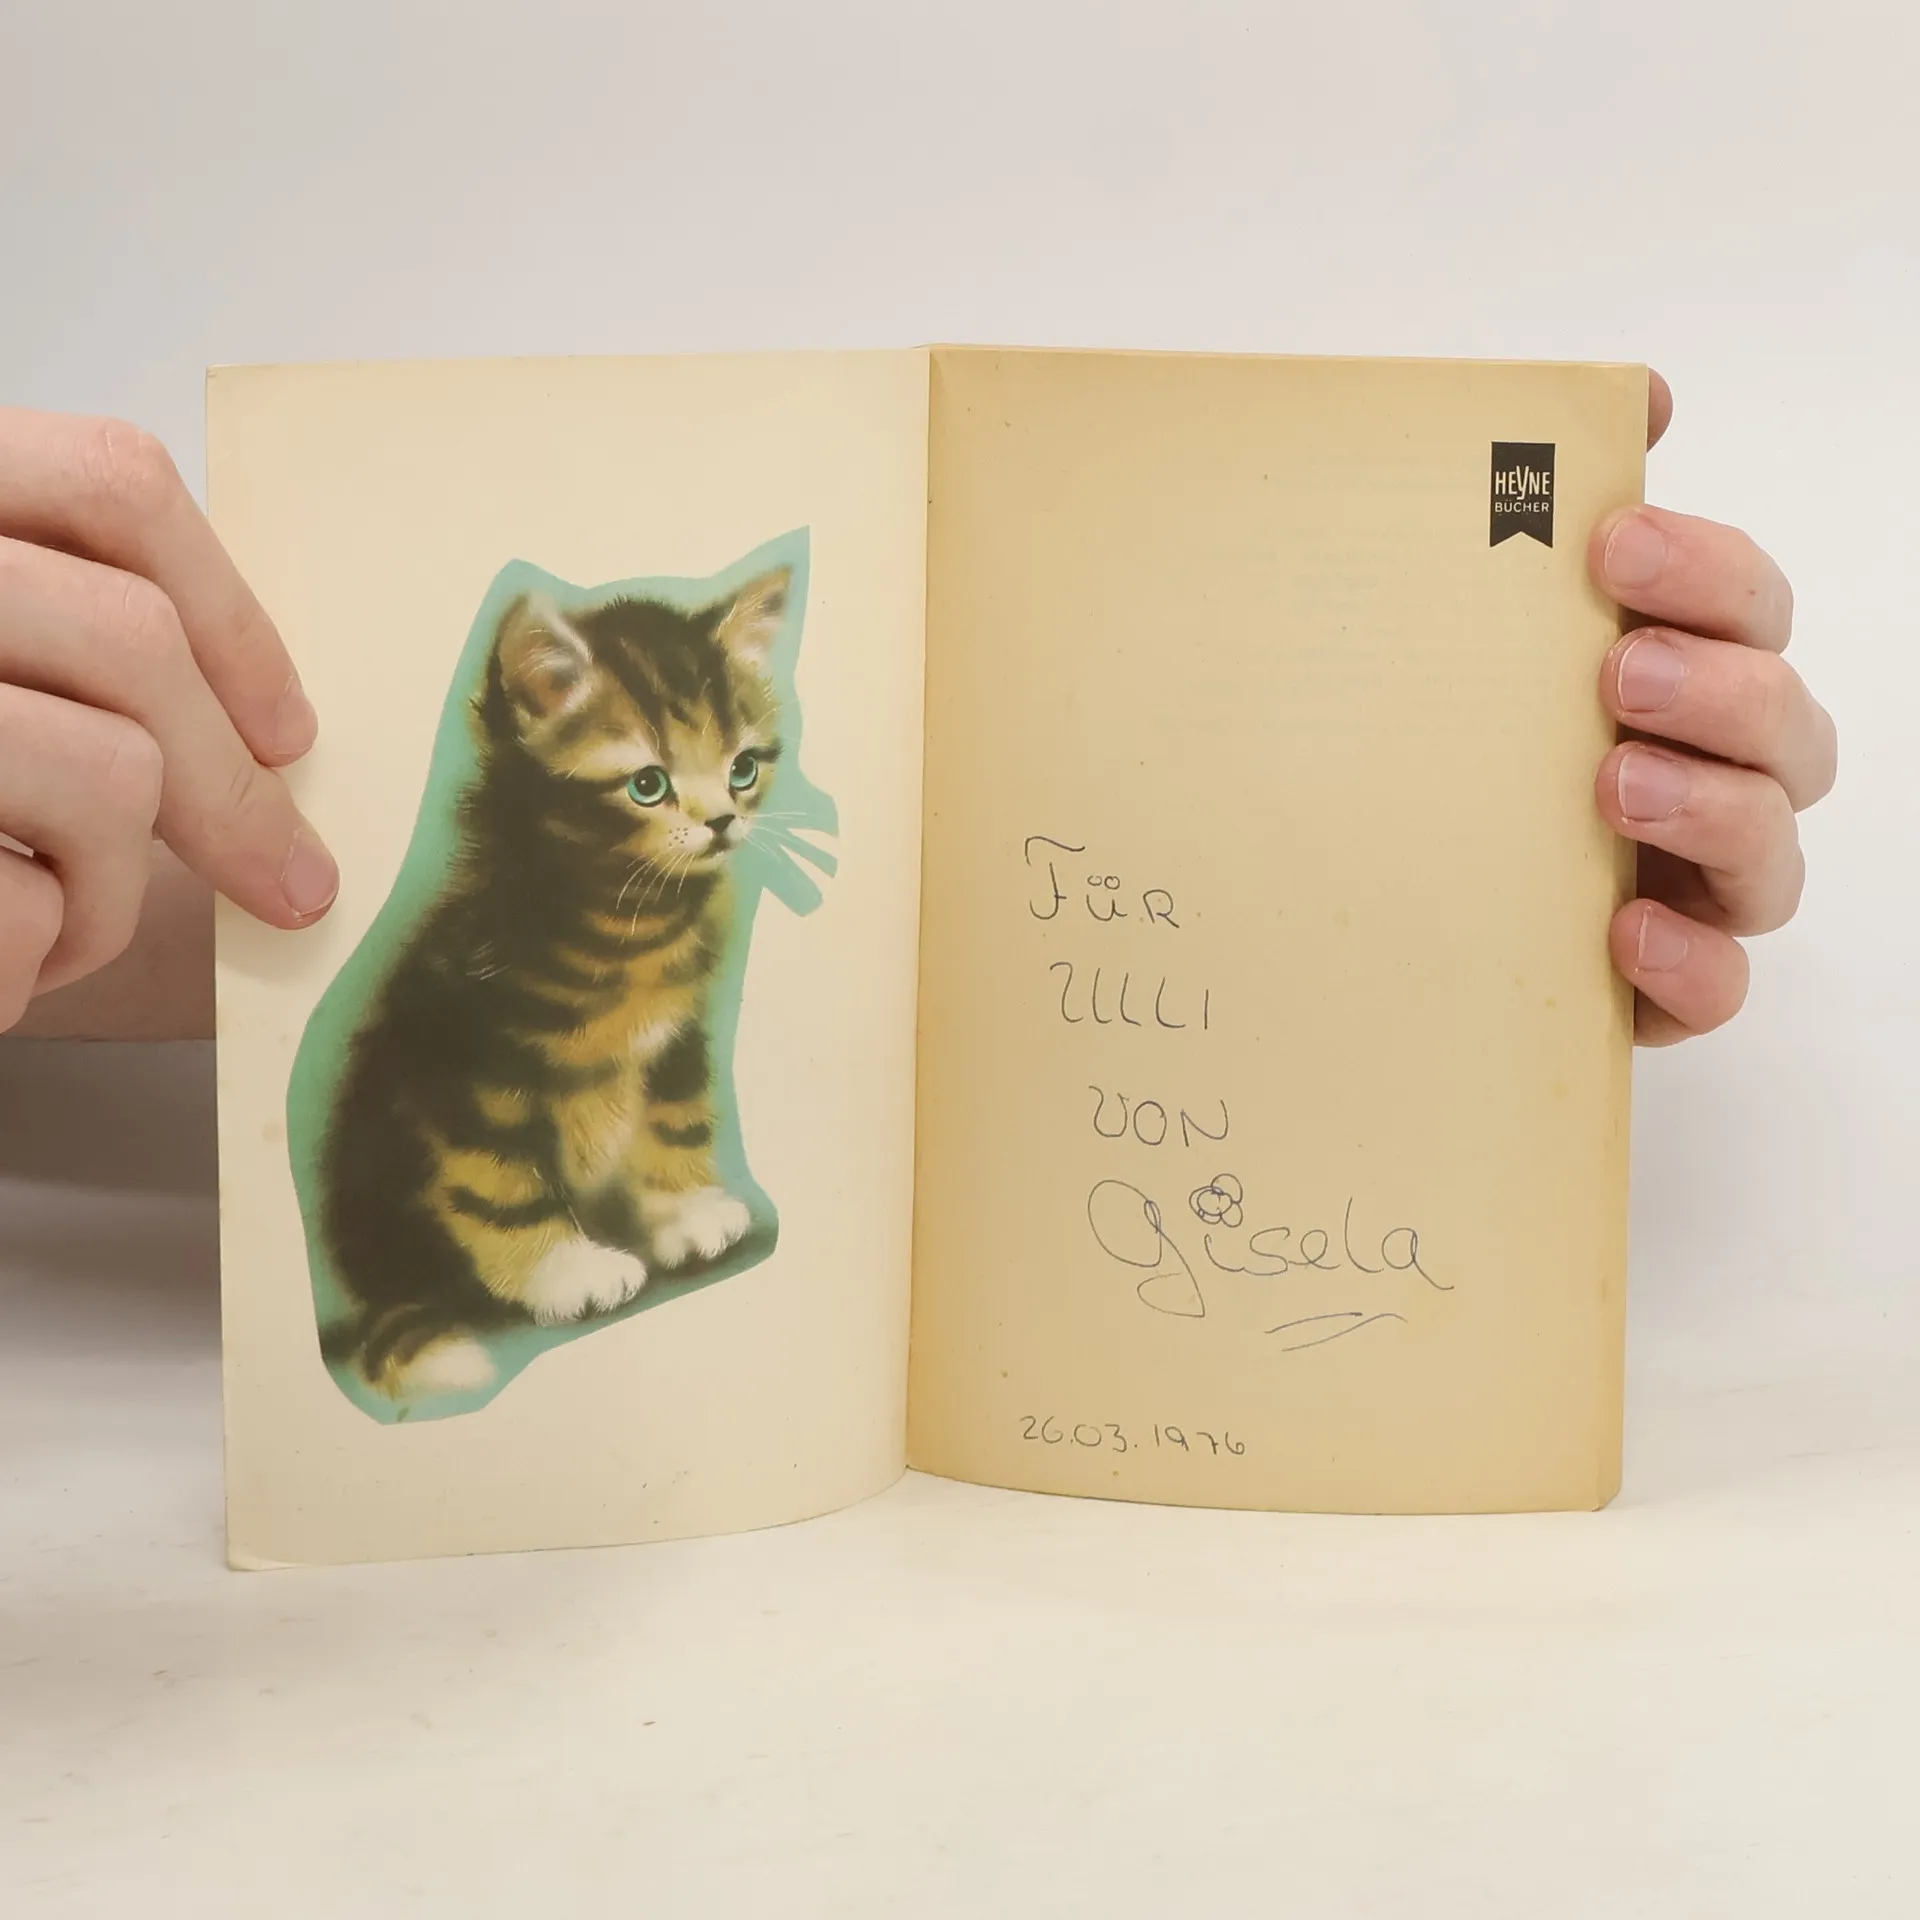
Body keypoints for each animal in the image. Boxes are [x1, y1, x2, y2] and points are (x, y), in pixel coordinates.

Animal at [318, 568, 790, 1402]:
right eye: (648, 785)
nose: (722, 822)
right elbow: (497, 1182)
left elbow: (675, 1115)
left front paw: (686, 1211)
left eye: (743, 767)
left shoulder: (677, 1033)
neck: (628, 924)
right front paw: (566, 1273)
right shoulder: (468, 1065)